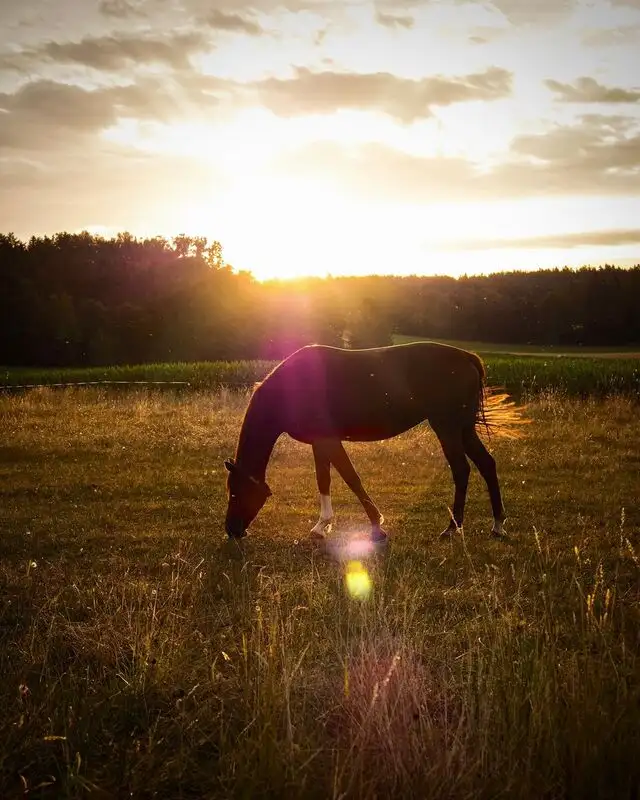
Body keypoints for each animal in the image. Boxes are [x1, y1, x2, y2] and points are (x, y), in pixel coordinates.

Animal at [224, 341, 524, 542]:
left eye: (235, 492)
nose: (232, 530)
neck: (291, 387)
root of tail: (467, 357)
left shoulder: (330, 441)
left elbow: (351, 478)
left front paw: (376, 526)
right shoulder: (319, 443)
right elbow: (324, 480)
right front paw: (322, 526)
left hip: (447, 427)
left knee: (461, 470)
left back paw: (453, 527)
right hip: (464, 429)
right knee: (487, 464)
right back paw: (498, 524)